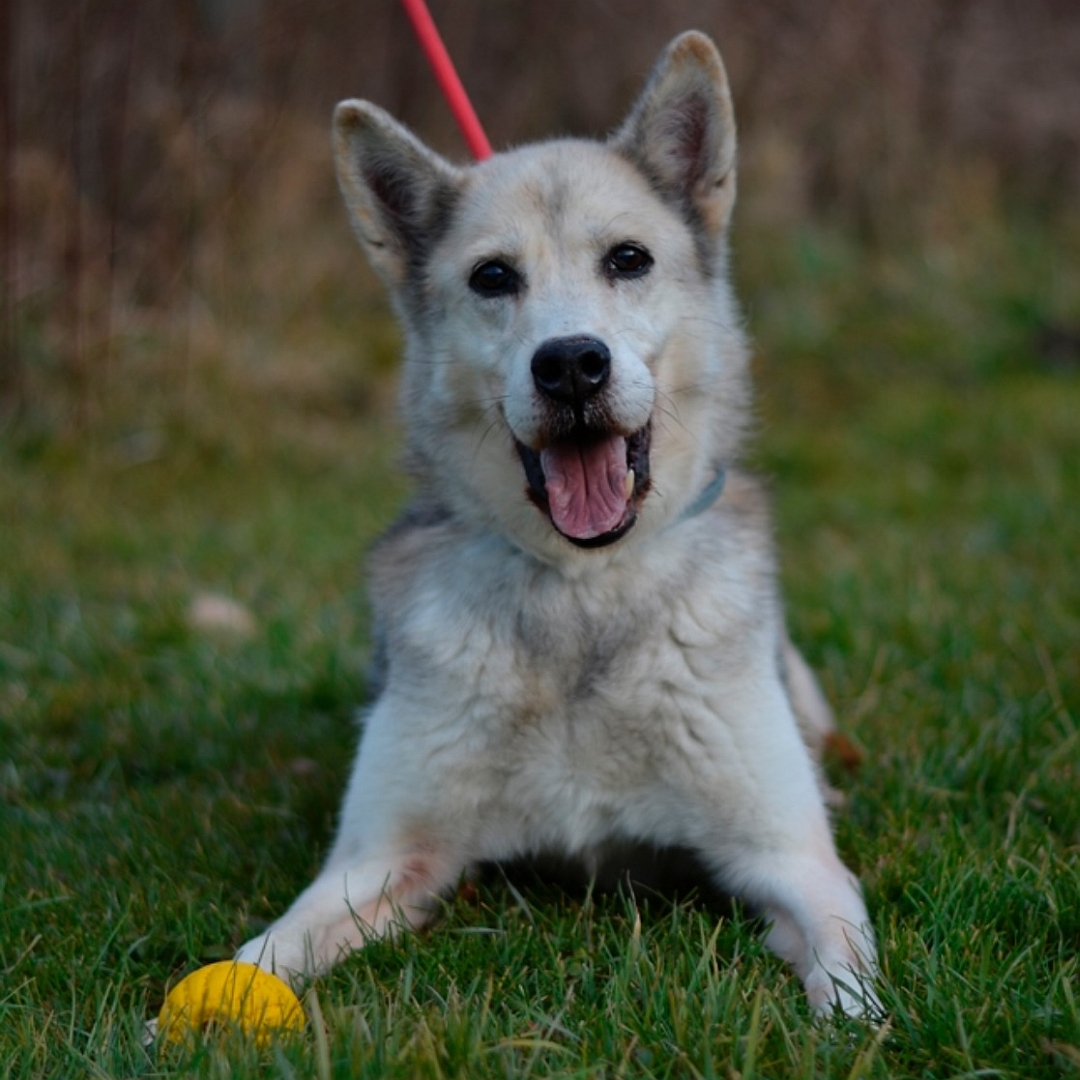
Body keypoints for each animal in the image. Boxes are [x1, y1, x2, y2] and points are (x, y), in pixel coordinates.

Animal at [236, 29, 876, 1015]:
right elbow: (257, 958)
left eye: (628, 259)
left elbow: (850, 988)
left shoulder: (792, 862)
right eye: (493, 277)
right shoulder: (379, 860)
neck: (584, 587)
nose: (571, 363)